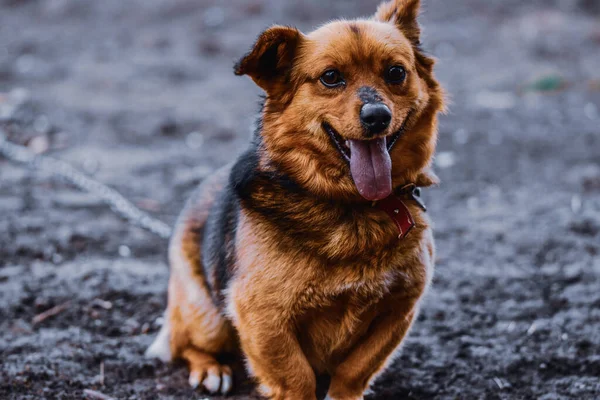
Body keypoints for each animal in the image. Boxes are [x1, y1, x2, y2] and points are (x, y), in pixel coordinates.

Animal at [145, 1, 446, 398]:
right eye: (331, 77)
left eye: (396, 73)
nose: (377, 116)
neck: (351, 204)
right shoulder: (263, 316)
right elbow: (296, 377)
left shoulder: (398, 310)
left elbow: (354, 370)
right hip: (206, 314)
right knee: (187, 345)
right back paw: (211, 368)